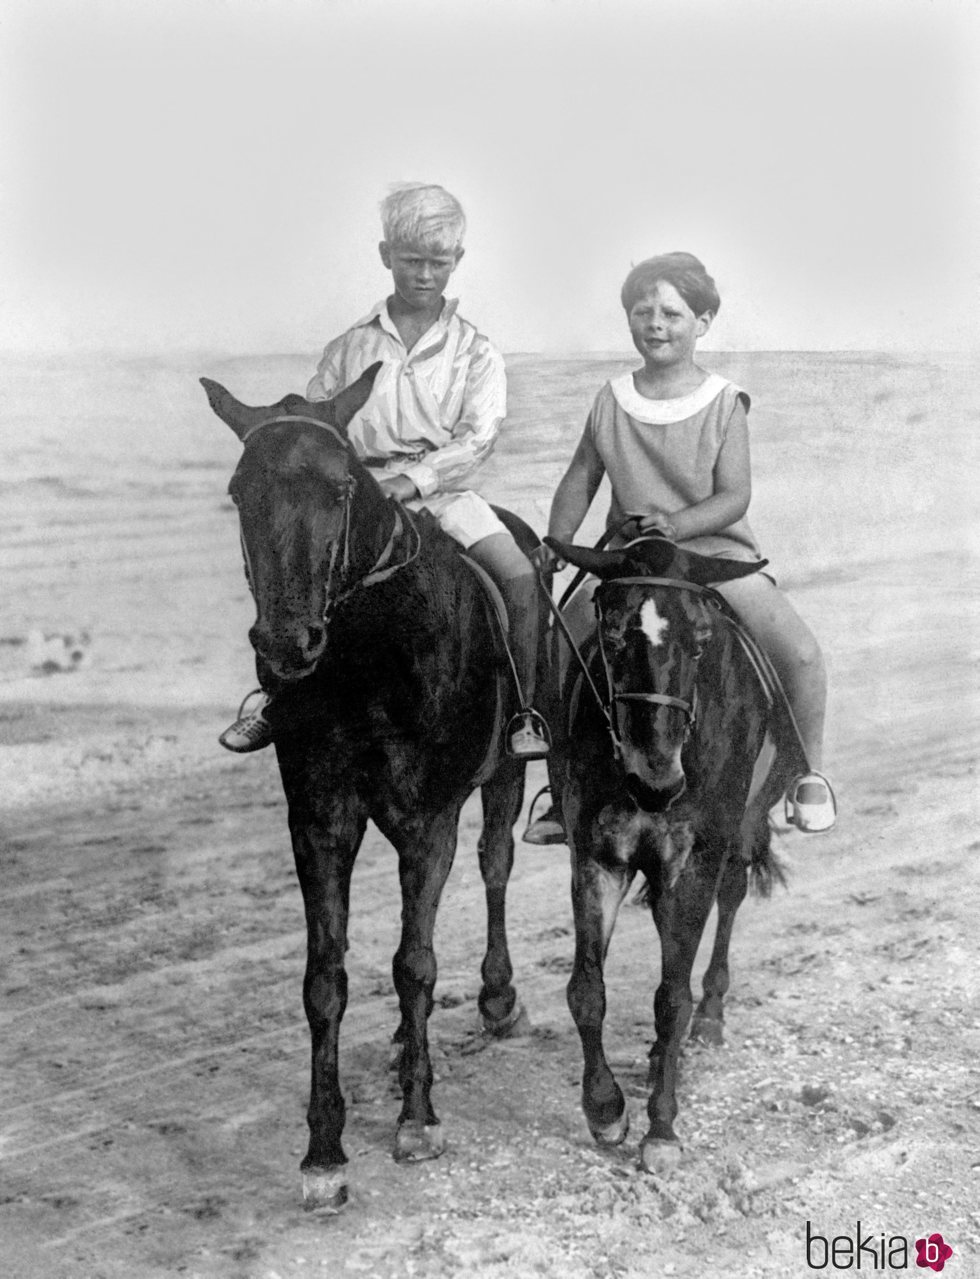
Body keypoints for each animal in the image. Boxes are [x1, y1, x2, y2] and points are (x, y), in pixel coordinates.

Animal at [203, 363, 547, 1207]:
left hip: (507, 772)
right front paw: (323, 1149)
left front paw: (418, 1118)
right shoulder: (319, 822)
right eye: (239, 490)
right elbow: (325, 978)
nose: (286, 644)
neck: (371, 657)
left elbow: (414, 963)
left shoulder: (430, 822)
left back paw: (497, 999)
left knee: (495, 864)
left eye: (339, 489)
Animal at [545, 532, 808, 1176]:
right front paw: (605, 1110)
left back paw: (709, 1017)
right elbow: (586, 989)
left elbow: (671, 998)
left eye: (701, 641)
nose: (655, 781)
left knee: (729, 902)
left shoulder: (692, 862)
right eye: (611, 635)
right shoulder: (598, 858)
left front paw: (661, 1129)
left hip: (741, 830)